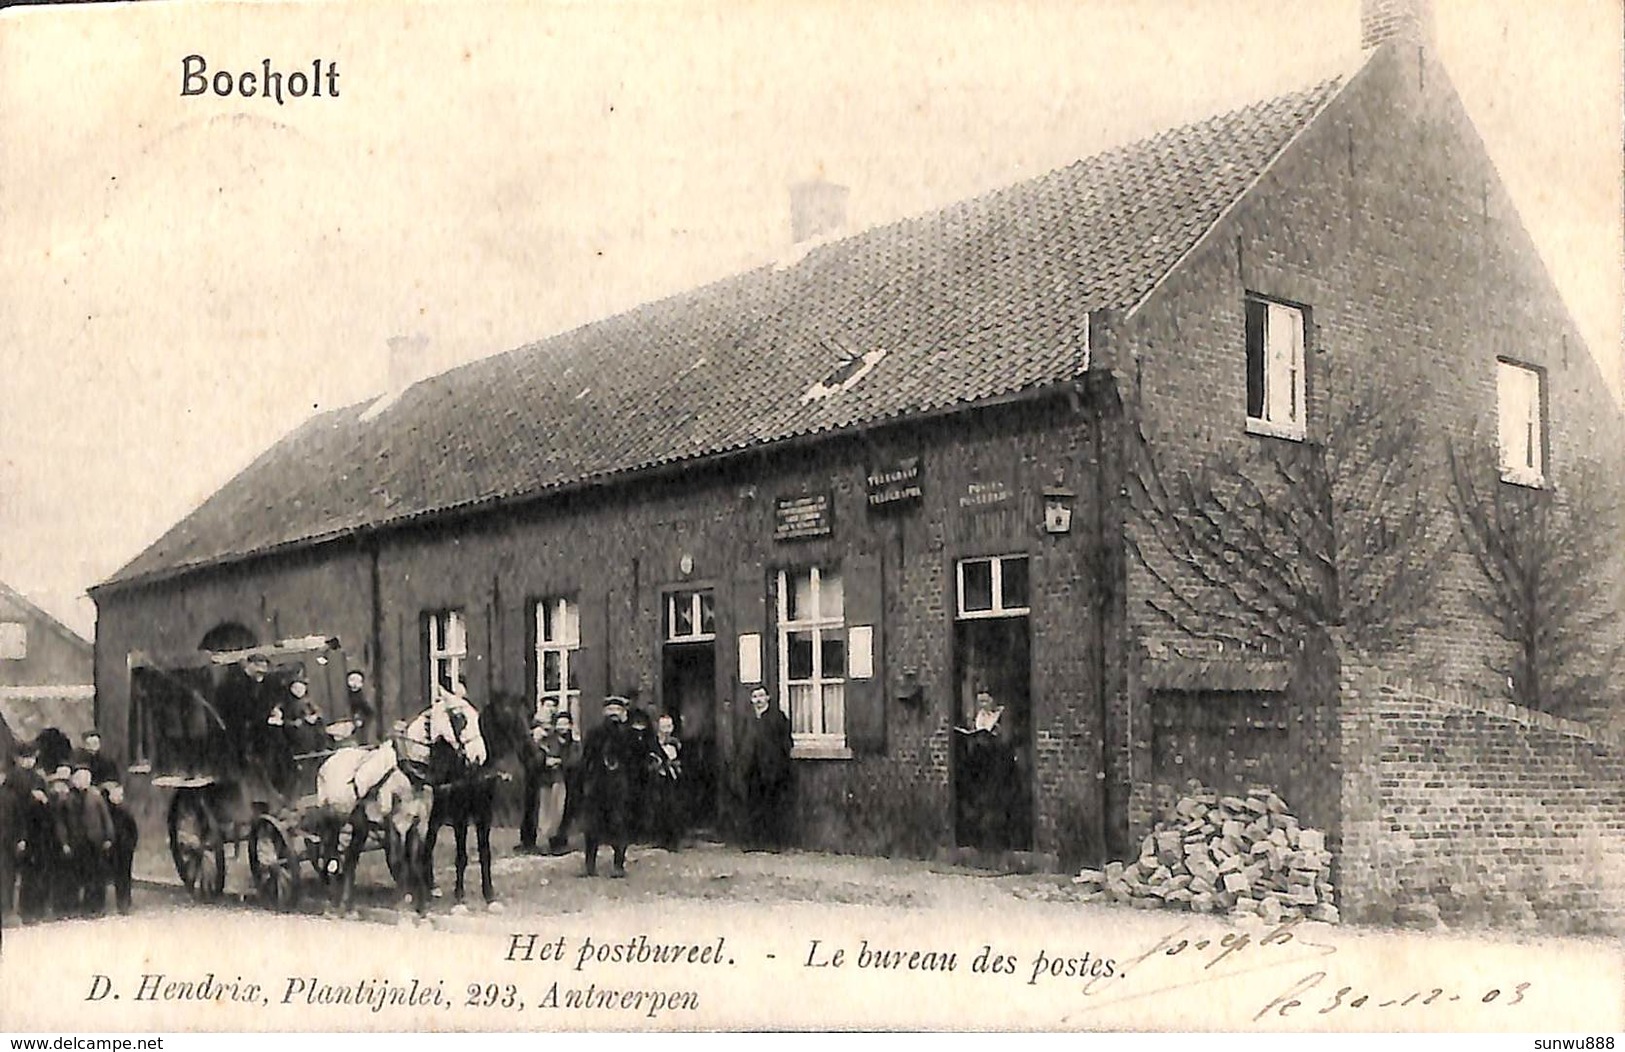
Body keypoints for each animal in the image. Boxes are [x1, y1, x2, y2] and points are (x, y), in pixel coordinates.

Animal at [422, 695, 536, 910]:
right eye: (507, 716)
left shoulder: (485, 813)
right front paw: (459, 893)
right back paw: (427, 887)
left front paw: (488, 892)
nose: (532, 752)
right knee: (427, 844)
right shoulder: (460, 815)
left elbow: (485, 852)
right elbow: (461, 855)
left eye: (526, 714)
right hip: (435, 813)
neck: (475, 767)